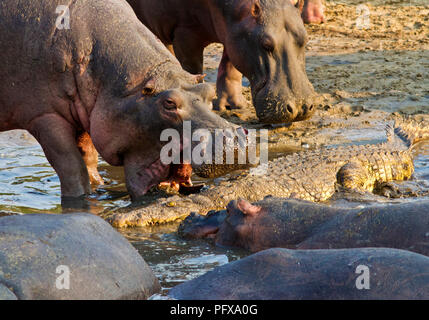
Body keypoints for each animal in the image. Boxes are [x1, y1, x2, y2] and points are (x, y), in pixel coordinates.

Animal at [0, 0, 241, 202]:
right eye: (169, 103)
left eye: (209, 91)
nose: (231, 141)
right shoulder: (44, 116)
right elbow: (72, 167)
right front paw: (80, 200)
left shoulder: (87, 110)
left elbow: (88, 158)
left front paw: (99, 188)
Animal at [125, 0, 316, 123]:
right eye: (266, 44)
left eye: (305, 38)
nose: (301, 107)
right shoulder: (185, 32)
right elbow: (193, 69)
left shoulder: (233, 36)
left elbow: (230, 69)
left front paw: (234, 106)